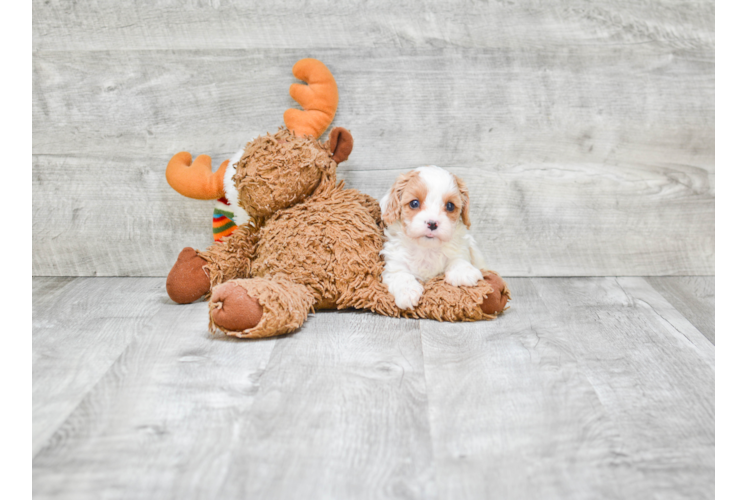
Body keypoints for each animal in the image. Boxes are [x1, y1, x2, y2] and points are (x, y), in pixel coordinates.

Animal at [380, 166, 486, 310]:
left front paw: (463, 271)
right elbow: (401, 275)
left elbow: (458, 258)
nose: (432, 223)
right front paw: (407, 292)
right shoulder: (394, 264)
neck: (427, 249)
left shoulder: (461, 249)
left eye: (450, 206)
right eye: (414, 203)